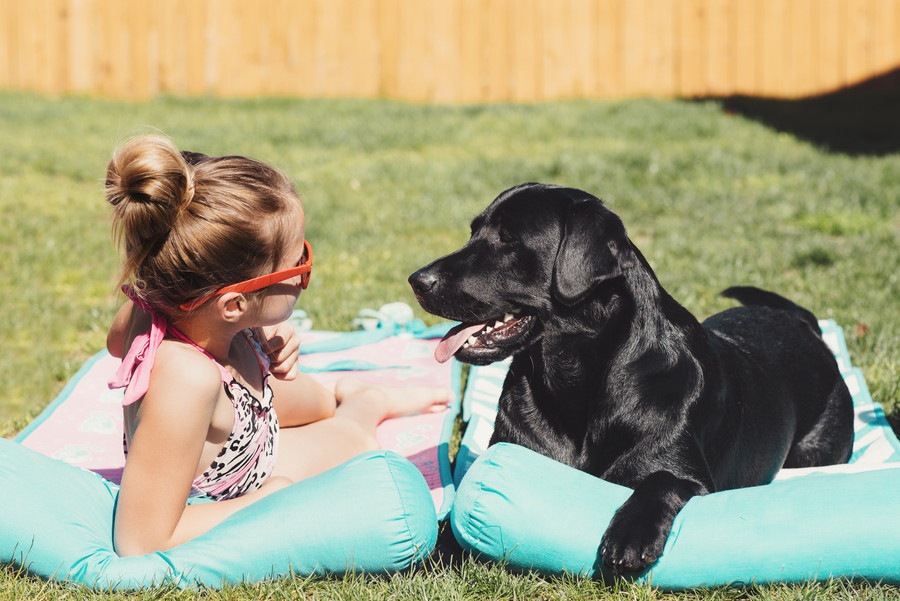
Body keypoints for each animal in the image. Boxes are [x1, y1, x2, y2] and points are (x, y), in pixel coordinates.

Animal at [408, 182, 852, 572]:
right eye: (473, 232)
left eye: (508, 239)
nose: (416, 280)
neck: (577, 384)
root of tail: (803, 323)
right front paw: (438, 548)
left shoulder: (692, 476)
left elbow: (661, 482)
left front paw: (630, 537)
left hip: (818, 451)